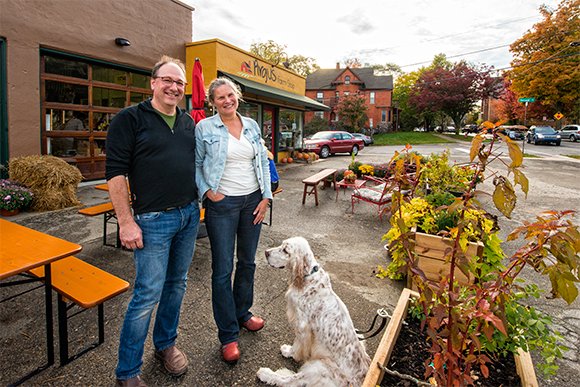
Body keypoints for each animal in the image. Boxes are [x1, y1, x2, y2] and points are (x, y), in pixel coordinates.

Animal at [258, 236, 372, 387]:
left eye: (285, 250)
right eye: (281, 245)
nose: (266, 253)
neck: (307, 276)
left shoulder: (302, 325)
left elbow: (298, 343)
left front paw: (290, 352)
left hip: (321, 367)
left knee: (291, 380)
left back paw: (266, 374)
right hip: (360, 337)